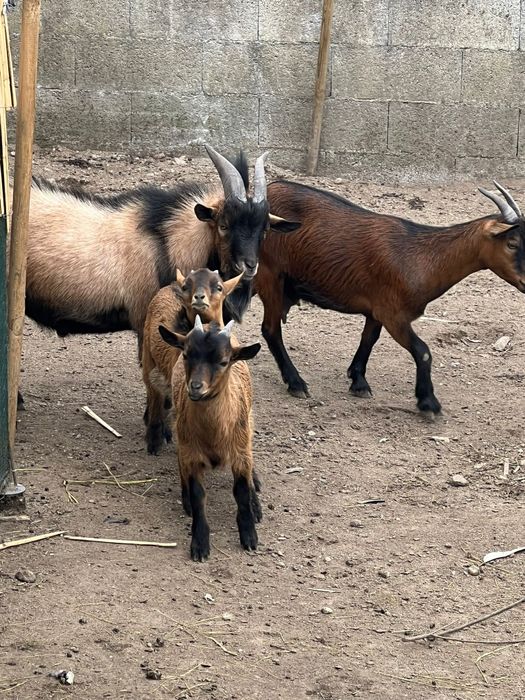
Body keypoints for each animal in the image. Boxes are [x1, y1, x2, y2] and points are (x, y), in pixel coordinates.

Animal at [142, 267, 242, 455]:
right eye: (186, 286)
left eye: (219, 287)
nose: (199, 297)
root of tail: (171, 285)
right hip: (148, 355)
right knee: (153, 392)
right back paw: (154, 436)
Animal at [159, 316, 261, 561]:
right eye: (186, 354)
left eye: (223, 361)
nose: (196, 387)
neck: (215, 434)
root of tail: (210, 324)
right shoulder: (191, 454)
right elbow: (199, 497)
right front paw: (200, 544)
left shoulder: (240, 451)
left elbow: (241, 492)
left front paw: (249, 537)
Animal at [258, 180, 525, 414]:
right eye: (511, 244)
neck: (423, 258)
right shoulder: (394, 315)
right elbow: (423, 351)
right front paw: (428, 402)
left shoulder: (377, 308)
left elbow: (369, 339)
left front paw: (358, 382)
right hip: (270, 276)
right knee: (270, 329)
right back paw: (296, 382)